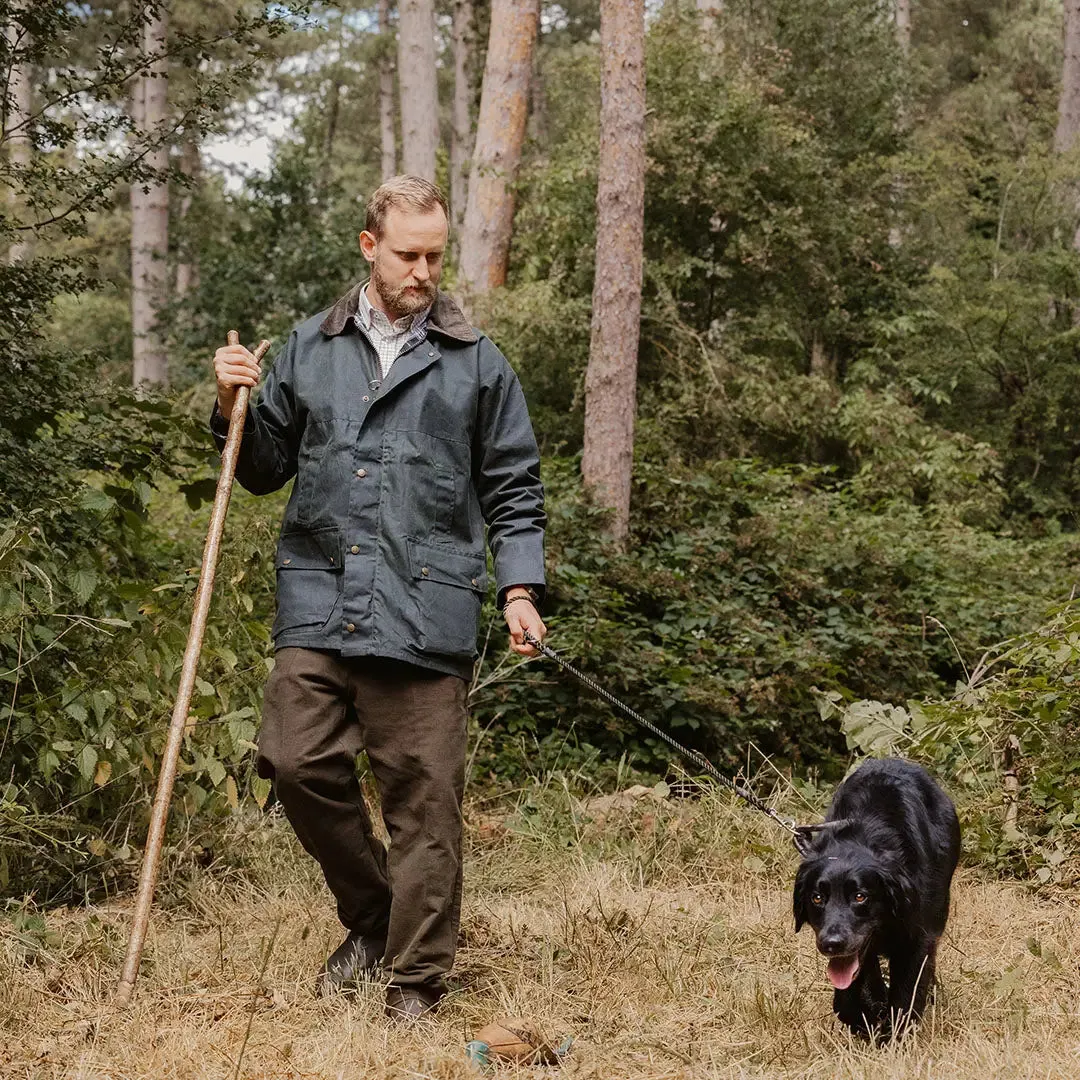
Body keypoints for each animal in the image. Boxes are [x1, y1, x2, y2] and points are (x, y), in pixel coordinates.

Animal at [794, 756, 963, 1041]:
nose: (831, 944)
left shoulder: (918, 938)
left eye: (860, 896)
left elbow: (906, 996)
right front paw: (865, 1017)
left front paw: (892, 1038)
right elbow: (850, 994)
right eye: (817, 898)